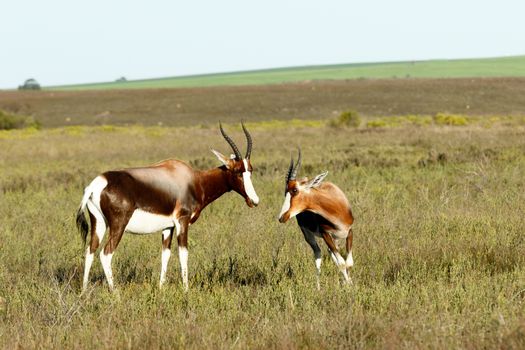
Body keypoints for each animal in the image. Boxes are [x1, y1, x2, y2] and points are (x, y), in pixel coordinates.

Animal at [77, 121, 258, 292]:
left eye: (250, 170)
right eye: (237, 172)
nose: (254, 200)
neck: (193, 179)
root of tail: (97, 183)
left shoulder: (168, 227)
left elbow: (166, 255)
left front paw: (161, 288)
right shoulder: (182, 221)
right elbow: (183, 254)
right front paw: (186, 290)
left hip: (99, 223)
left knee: (90, 251)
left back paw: (84, 291)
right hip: (118, 226)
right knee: (106, 254)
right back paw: (115, 293)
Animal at [276, 149, 354, 288]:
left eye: (295, 190)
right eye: (285, 192)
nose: (281, 217)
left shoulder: (349, 232)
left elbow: (348, 263)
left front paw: (349, 284)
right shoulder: (325, 234)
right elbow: (341, 263)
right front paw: (348, 286)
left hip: (335, 238)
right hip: (310, 236)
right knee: (318, 254)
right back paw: (318, 288)